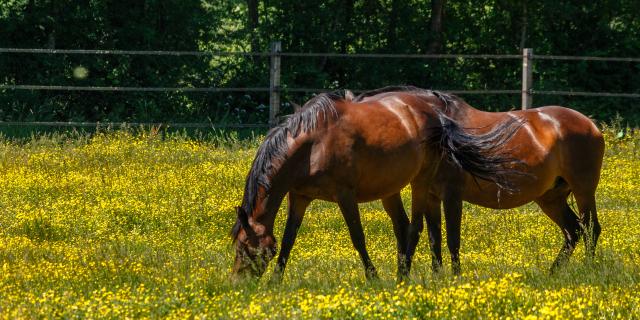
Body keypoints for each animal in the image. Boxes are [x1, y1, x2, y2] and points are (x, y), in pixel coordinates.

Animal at [230, 87, 524, 280]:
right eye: (238, 245)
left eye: (247, 249)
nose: (238, 284)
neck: (313, 144)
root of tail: (436, 115)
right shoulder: (299, 197)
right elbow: (289, 239)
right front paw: (276, 280)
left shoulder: (344, 195)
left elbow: (357, 236)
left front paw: (373, 277)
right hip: (390, 188)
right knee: (403, 227)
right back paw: (403, 272)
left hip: (420, 181)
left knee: (415, 227)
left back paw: (402, 277)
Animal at [364, 87, 604, 276]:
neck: (441, 129)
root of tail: (590, 124)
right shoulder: (432, 197)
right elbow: (435, 240)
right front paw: (438, 277)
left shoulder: (452, 195)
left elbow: (452, 239)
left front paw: (455, 278)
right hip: (551, 198)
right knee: (573, 230)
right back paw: (553, 272)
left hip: (583, 191)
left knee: (591, 228)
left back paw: (588, 269)